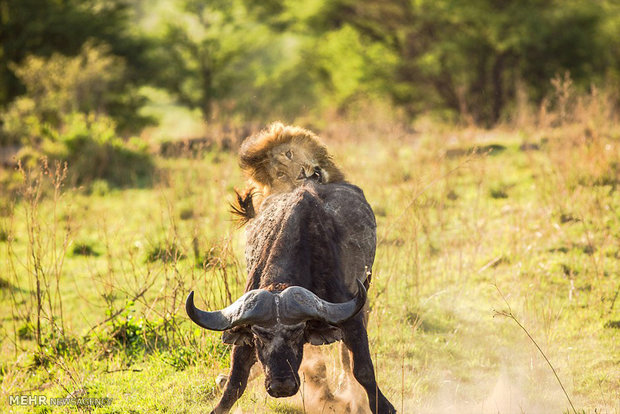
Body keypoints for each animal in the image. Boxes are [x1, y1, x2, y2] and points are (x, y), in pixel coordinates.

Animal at [186, 182, 394, 414]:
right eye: (259, 336)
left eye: (297, 333)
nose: (282, 386)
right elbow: (235, 381)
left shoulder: (350, 317)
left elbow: (363, 369)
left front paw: (383, 406)